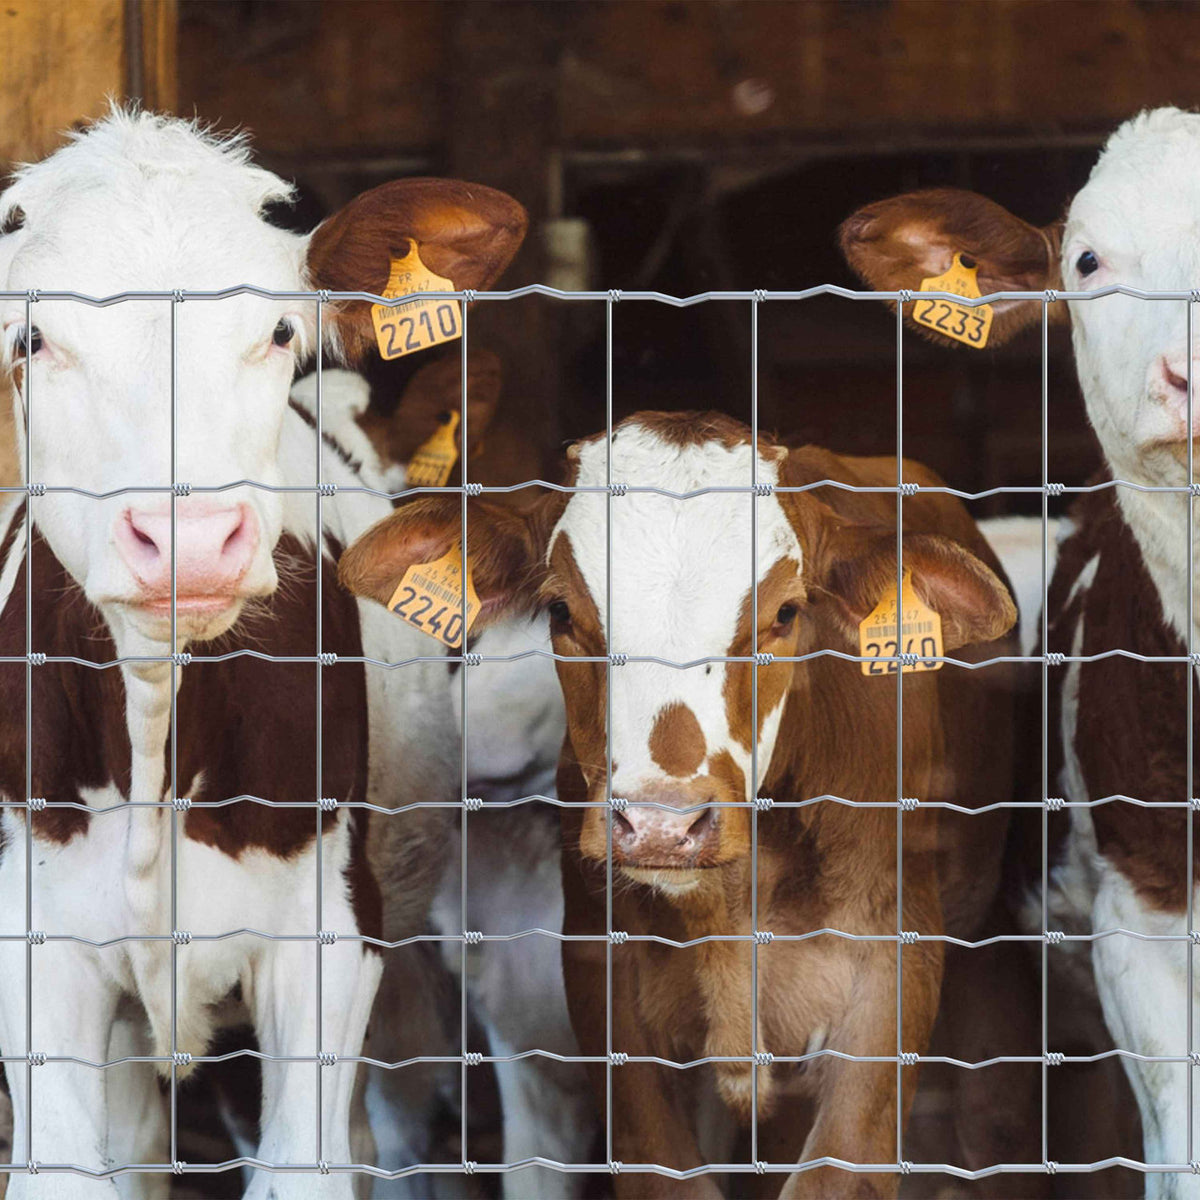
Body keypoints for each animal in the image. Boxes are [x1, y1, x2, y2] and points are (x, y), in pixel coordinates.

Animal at [0, 107, 525, 1197]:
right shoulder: (30, 938)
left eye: (280, 332)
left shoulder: (330, 936)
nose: (189, 538)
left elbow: (307, 1166)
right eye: (33, 338)